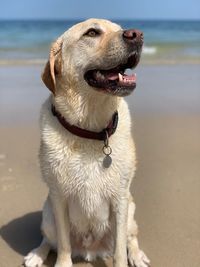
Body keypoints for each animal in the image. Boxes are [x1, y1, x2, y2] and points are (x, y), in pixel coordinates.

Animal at [24, 18, 149, 267]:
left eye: (119, 28)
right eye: (92, 33)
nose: (137, 34)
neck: (91, 130)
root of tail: (91, 250)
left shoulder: (120, 199)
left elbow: (120, 249)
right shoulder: (59, 198)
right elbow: (63, 246)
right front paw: (62, 263)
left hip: (131, 210)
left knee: (131, 238)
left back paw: (137, 255)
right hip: (48, 212)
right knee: (48, 240)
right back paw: (37, 254)